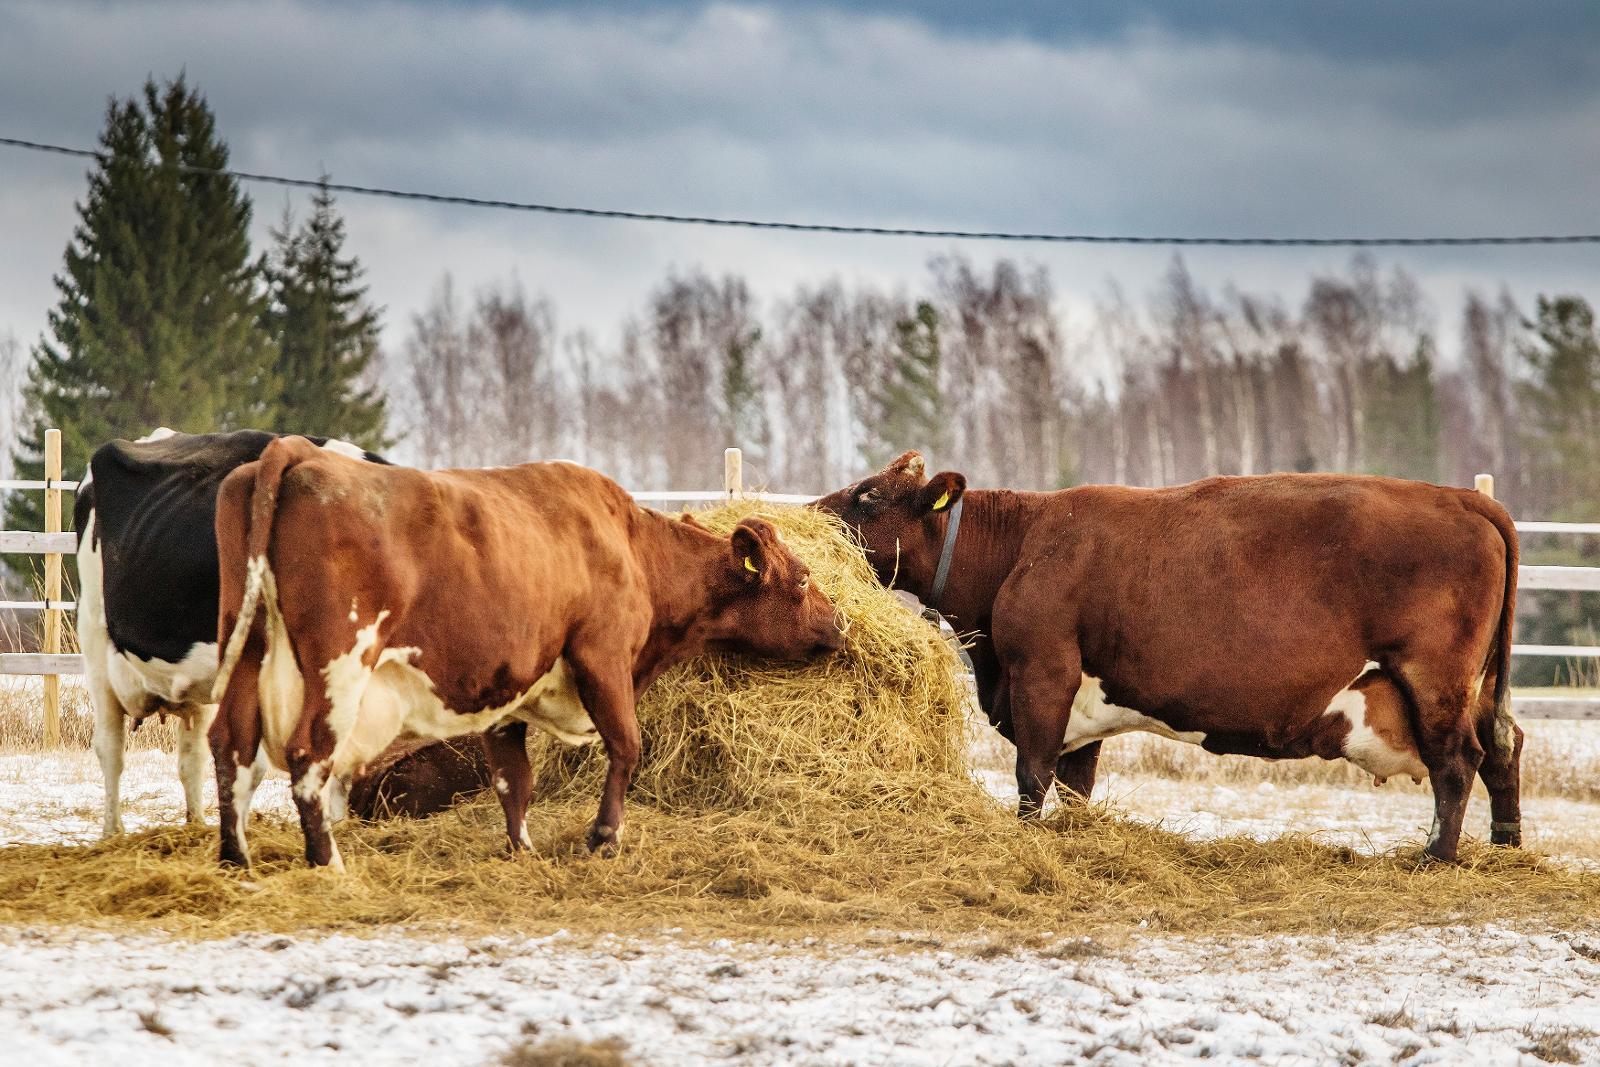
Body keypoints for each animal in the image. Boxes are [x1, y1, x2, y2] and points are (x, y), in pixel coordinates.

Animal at [209, 438, 851, 870]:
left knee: (229, 745)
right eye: (801, 581)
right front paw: (604, 837)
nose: (841, 625)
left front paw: (523, 850)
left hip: (244, 648)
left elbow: (512, 779)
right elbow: (627, 746)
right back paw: (329, 862)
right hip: (340, 665)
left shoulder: (507, 692)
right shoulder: (602, 657)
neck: (632, 548)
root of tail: (296, 453)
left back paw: (235, 857)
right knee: (306, 756)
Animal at [825, 454, 1523, 863]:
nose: (810, 511)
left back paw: (1437, 856)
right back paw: (1506, 844)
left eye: (867, 496)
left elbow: (1032, 775)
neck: (1022, 543)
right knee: (1504, 746)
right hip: (1478, 688)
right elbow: (1075, 784)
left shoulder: (1042, 674)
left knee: (1458, 761)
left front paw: (1025, 838)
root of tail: (1465, 498)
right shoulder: (1080, 706)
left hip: (1434, 681)